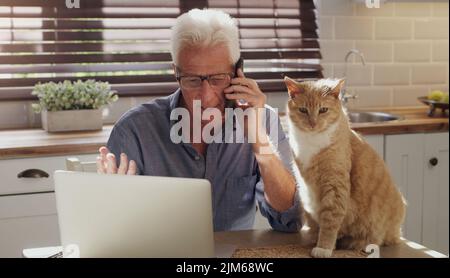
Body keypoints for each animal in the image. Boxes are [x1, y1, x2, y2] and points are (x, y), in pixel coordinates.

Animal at [284, 76, 408, 258]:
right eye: (303, 110)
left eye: (323, 110)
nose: (313, 123)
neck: (311, 141)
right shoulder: (304, 187)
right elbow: (316, 221)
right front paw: (316, 239)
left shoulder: (335, 186)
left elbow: (330, 222)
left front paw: (324, 247)